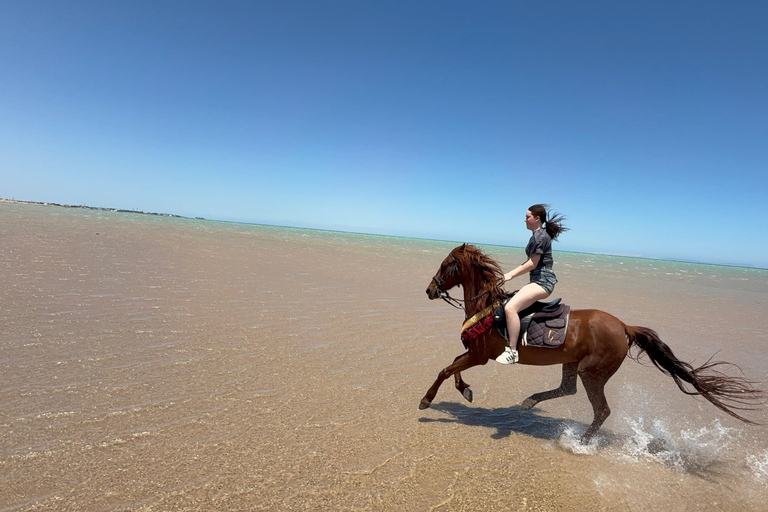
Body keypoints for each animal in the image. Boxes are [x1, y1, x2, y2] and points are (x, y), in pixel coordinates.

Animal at [421, 244, 763, 443]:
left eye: (445, 264)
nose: (429, 290)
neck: (487, 307)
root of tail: (624, 326)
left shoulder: (480, 356)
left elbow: (444, 369)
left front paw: (427, 401)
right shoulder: (474, 353)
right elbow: (452, 367)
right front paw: (465, 391)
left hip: (593, 371)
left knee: (601, 410)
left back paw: (582, 444)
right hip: (574, 363)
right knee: (568, 389)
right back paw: (531, 402)